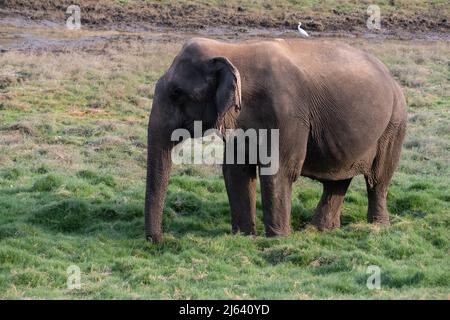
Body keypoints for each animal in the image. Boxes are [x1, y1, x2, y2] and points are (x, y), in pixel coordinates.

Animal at [145, 37, 408, 242]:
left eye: (176, 93)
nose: (159, 241)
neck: (232, 50)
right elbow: (236, 171)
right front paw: (244, 237)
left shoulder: (287, 115)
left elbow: (278, 171)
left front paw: (277, 239)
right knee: (338, 179)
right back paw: (320, 230)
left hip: (394, 122)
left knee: (378, 179)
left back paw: (376, 226)